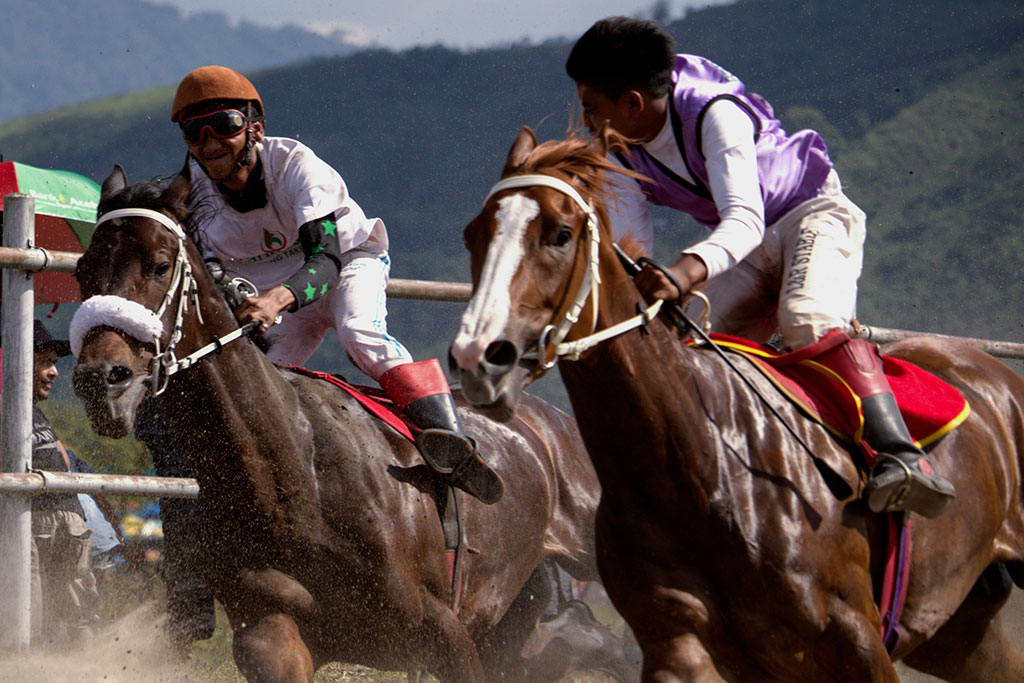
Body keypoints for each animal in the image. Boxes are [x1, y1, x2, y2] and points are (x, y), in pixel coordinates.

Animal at [70, 166, 630, 683]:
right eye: (81, 271)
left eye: (160, 265)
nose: (103, 380)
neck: (291, 481)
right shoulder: (271, 637)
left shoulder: (444, 629)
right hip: (520, 621)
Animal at [450, 126, 1024, 679]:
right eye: (472, 234)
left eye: (561, 235)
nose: (479, 356)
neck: (699, 468)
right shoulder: (678, 641)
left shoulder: (856, 640)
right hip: (958, 630)